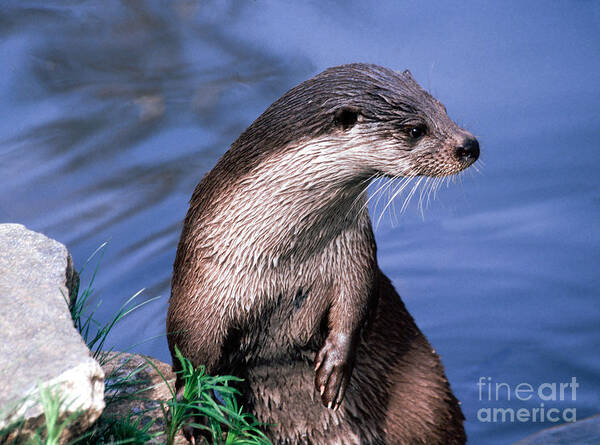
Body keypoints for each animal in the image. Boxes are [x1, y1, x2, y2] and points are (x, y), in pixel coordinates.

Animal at [168, 63, 478, 444]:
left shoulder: (353, 251)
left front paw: (335, 364)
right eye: (416, 130)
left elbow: (356, 299)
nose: (469, 144)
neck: (281, 260)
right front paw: (195, 413)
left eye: (443, 109)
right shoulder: (202, 281)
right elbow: (187, 355)